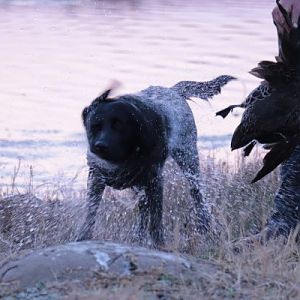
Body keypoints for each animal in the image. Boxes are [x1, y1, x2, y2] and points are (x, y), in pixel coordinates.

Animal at [77, 76, 234, 247]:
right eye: (96, 126)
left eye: (118, 125)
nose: (100, 146)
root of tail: (173, 90)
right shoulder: (96, 179)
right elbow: (90, 215)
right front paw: (82, 238)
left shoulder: (155, 181)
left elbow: (155, 222)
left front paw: (159, 245)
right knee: (143, 212)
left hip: (187, 156)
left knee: (196, 193)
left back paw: (204, 224)